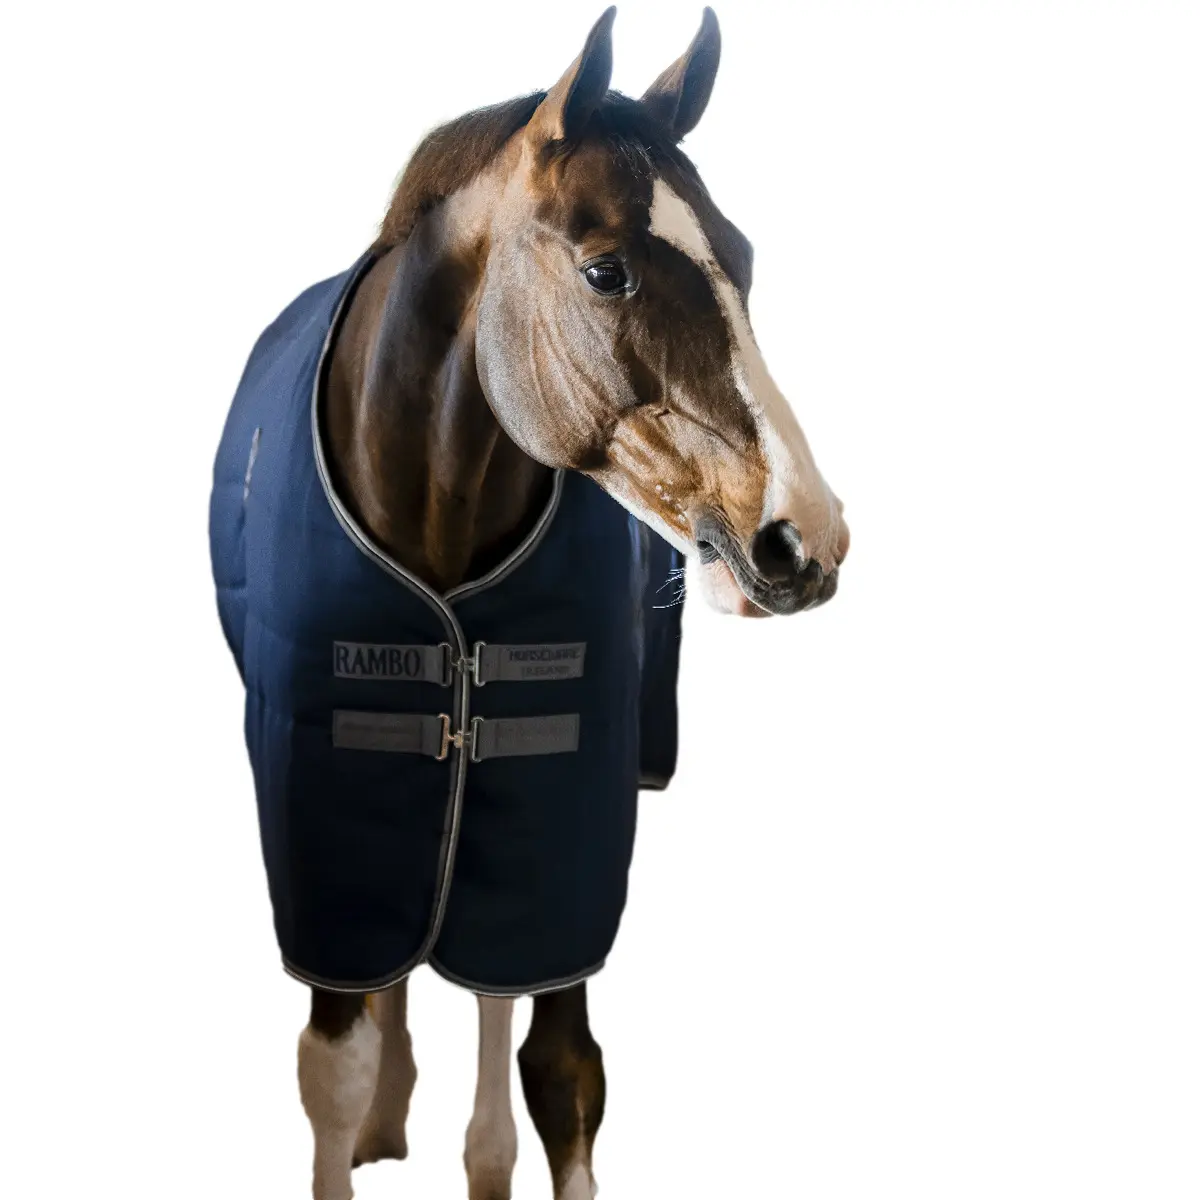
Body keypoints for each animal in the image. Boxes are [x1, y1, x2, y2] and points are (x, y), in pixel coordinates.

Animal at [208, 8, 849, 1199]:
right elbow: (335, 1065)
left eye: (741, 256)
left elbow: (559, 1069)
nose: (806, 536)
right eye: (607, 271)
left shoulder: (561, 814)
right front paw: (364, 1113)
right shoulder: (321, 819)